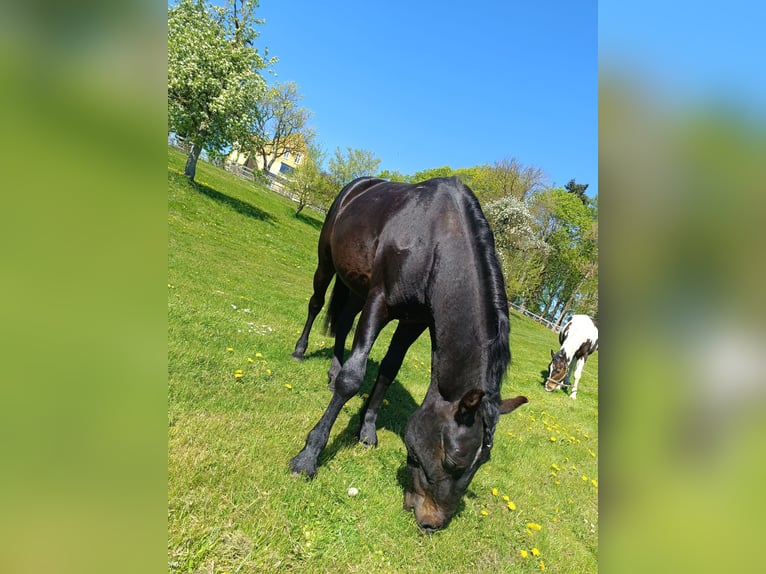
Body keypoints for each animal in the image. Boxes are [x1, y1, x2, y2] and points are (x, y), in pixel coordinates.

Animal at [290, 176, 528, 532]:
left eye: (483, 461)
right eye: (452, 459)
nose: (432, 523)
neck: (433, 242)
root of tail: (358, 186)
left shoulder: (414, 321)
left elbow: (389, 368)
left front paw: (367, 429)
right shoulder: (379, 301)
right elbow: (353, 378)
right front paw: (308, 456)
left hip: (356, 283)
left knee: (343, 320)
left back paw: (332, 368)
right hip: (327, 262)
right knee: (317, 303)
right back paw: (300, 351)